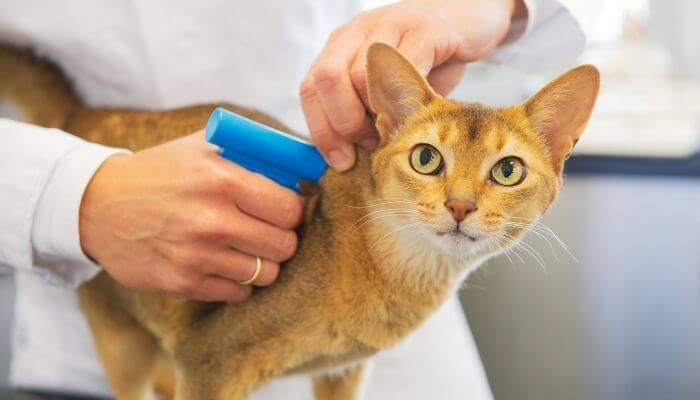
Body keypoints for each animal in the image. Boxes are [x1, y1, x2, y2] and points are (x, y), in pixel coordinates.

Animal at [1, 42, 600, 398]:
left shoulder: (344, 372)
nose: (459, 206)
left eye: (507, 170)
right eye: (427, 158)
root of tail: (83, 113)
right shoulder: (208, 362)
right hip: (121, 342)